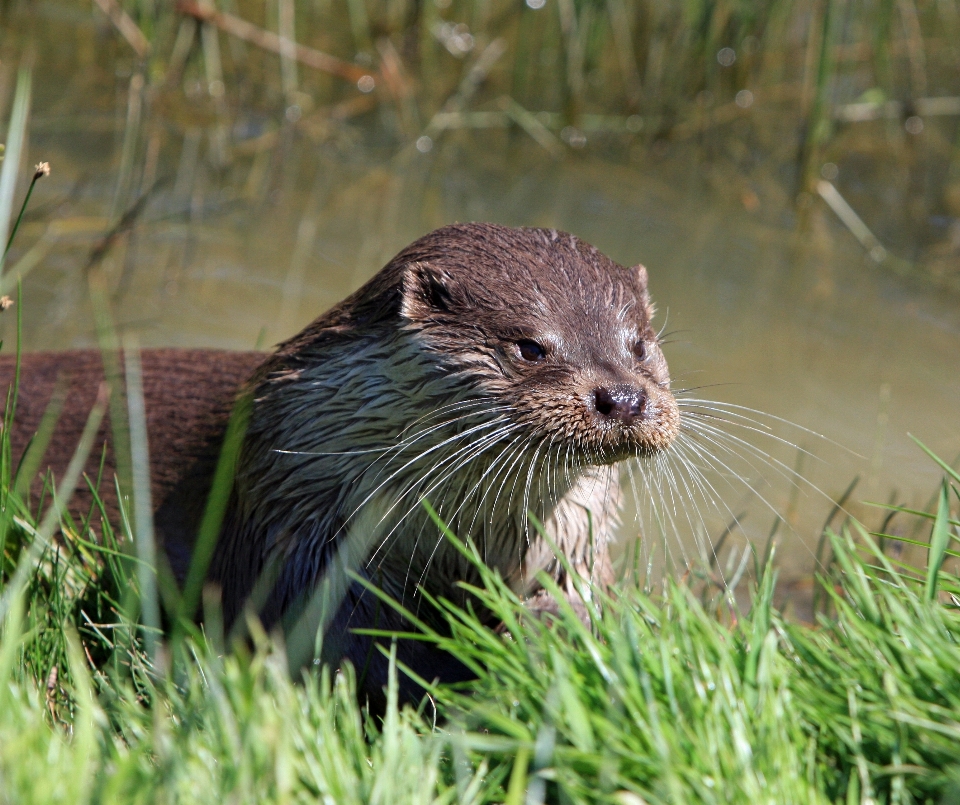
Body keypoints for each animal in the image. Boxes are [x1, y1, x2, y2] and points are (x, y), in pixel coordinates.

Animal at [1, 221, 676, 704]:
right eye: (531, 347)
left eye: (640, 345)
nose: (623, 397)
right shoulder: (297, 526)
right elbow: (340, 639)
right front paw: (455, 673)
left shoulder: (575, 532)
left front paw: (551, 634)